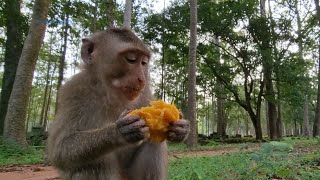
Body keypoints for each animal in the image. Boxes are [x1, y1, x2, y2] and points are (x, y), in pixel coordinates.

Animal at [47, 28, 190, 180]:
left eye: (143, 62)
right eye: (131, 59)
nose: (141, 79)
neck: (110, 93)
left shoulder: (144, 92)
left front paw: (182, 128)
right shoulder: (74, 91)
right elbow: (60, 150)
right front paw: (118, 131)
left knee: (153, 142)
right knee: (92, 163)